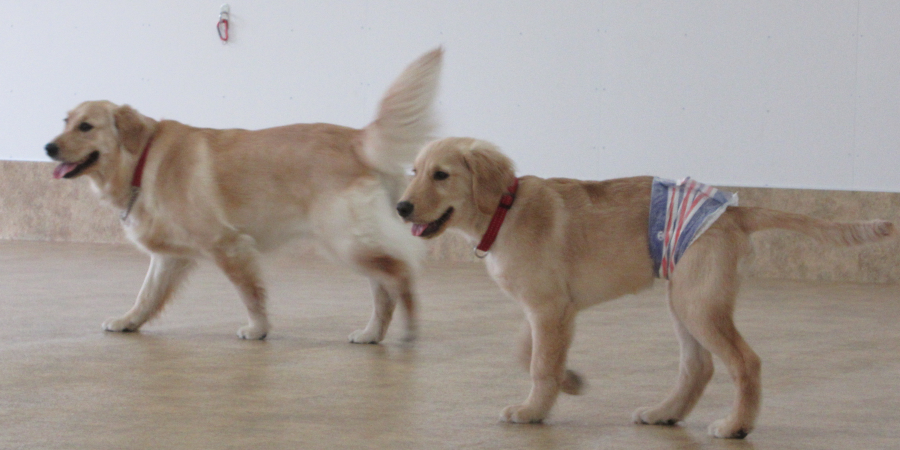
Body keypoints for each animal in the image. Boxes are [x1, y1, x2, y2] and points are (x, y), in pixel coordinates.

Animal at [44, 48, 442, 343]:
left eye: (86, 126)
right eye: (65, 121)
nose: (48, 147)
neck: (143, 158)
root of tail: (359, 139)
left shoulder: (228, 244)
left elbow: (250, 293)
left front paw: (257, 329)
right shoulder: (170, 257)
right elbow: (147, 294)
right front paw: (129, 321)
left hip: (344, 241)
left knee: (402, 274)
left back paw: (408, 327)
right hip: (356, 243)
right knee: (385, 288)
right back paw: (372, 333)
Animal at [396, 137, 895, 438]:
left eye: (441, 175)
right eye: (414, 171)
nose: (401, 207)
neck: (505, 208)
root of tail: (734, 210)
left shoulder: (548, 307)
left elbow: (538, 363)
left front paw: (533, 410)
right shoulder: (553, 309)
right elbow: (530, 352)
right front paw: (569, 381)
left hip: (697, 302)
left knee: (744, 362)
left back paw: (736, 425)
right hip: (683, 299)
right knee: (699, 367)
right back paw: (664, 412)